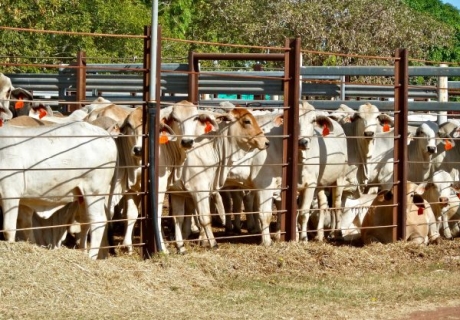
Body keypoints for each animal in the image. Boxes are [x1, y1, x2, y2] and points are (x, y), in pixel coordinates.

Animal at [0, 121, 118, 258]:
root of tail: (106, 135)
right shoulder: (24, 201)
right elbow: (26, 226)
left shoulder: (9, 193)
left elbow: (9, 229)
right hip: (82, 195)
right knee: (85, 222)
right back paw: (82, 252)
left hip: (94, 192)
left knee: (98, 221)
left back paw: (90, 257)